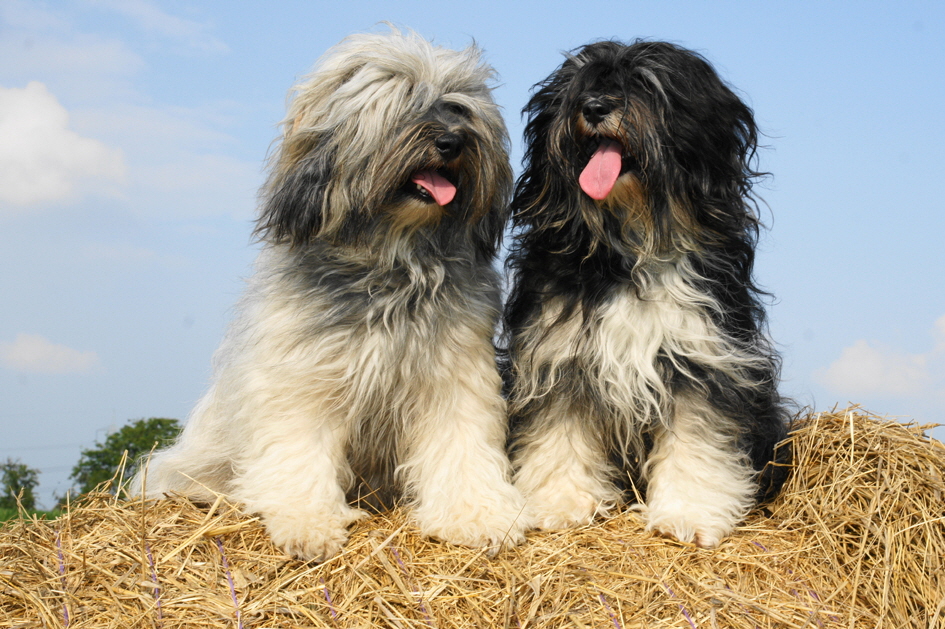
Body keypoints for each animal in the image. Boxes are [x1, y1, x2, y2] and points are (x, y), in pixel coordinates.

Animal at [134, 29, 528, 560]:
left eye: (457, 107)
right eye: (404, 100)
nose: (453, 141)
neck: (392, 261)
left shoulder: (454, 373)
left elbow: (460, 445)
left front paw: (478, 514)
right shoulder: (301, 377)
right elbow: (300, 452)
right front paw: (308, 521)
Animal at [506, 41, 784, 548]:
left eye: (645, 86)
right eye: (581, 87)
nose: (595, 108)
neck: (630, 244)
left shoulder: (701, 357)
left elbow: (697, 442)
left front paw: (688, 514)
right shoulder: (559, 355)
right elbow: (558, 432)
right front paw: (562, 504)